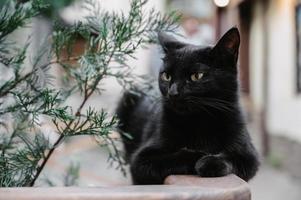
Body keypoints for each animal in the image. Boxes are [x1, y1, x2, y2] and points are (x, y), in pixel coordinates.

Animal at [115, 27, 258, 184]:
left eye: (197, 76)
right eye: (166, 76)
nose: (173, 92)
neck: (200, 122)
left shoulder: (248, 155)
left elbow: (232, 157)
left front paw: (210, 162)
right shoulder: (141, 160)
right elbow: (174, 156)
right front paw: (198, 155)